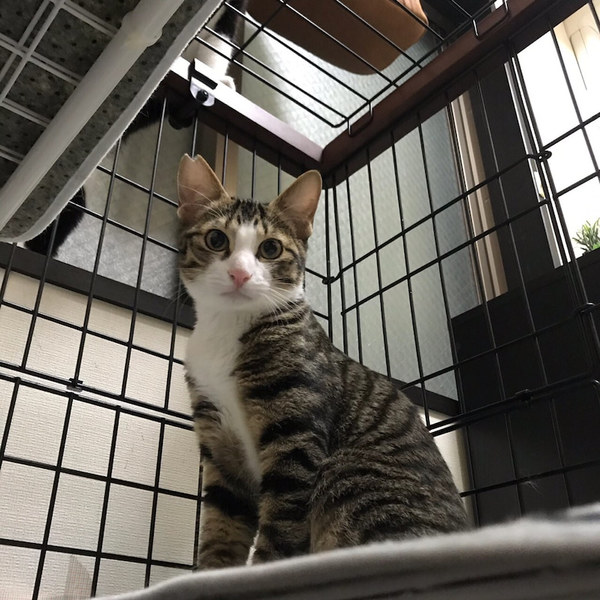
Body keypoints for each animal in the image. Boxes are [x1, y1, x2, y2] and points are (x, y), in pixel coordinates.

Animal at [177, 153, 469, 570]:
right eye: (216, 239)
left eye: (270, 248)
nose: (239, 273)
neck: (229, 330)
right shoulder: (218, 440)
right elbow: (223, 523)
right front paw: (209, 575)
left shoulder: (296, 430)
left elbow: (281, 525)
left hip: (349, 473)